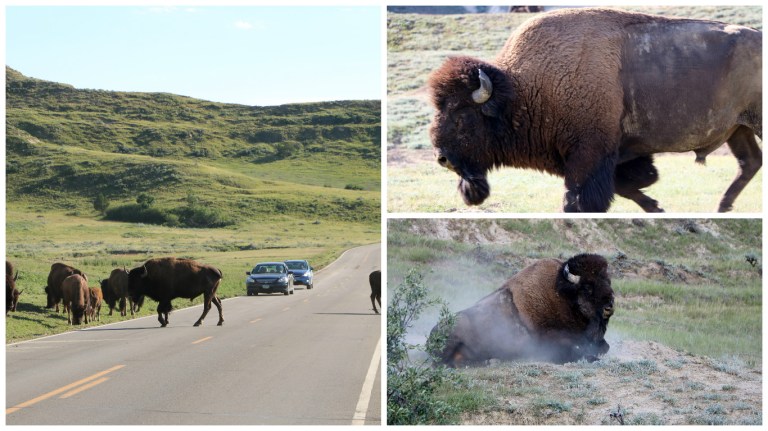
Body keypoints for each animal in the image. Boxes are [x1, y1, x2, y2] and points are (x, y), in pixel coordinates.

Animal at [428, 8, 762, 212]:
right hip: (738, 129)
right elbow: (626, 184)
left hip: (754, 123)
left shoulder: (589, 154)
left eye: (461, 116)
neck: (522, 88)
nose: (442, 158)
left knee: (750, 162)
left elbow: (579, 199)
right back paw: (722, 207)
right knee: (750, 162)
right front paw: (655, 205)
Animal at [433, 254, 614, 366]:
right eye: (587, 287)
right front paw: (594, 359)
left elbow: (605, 347)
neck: (566, 298)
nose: (609, 306)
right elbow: (576, 351)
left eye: (608, 281)